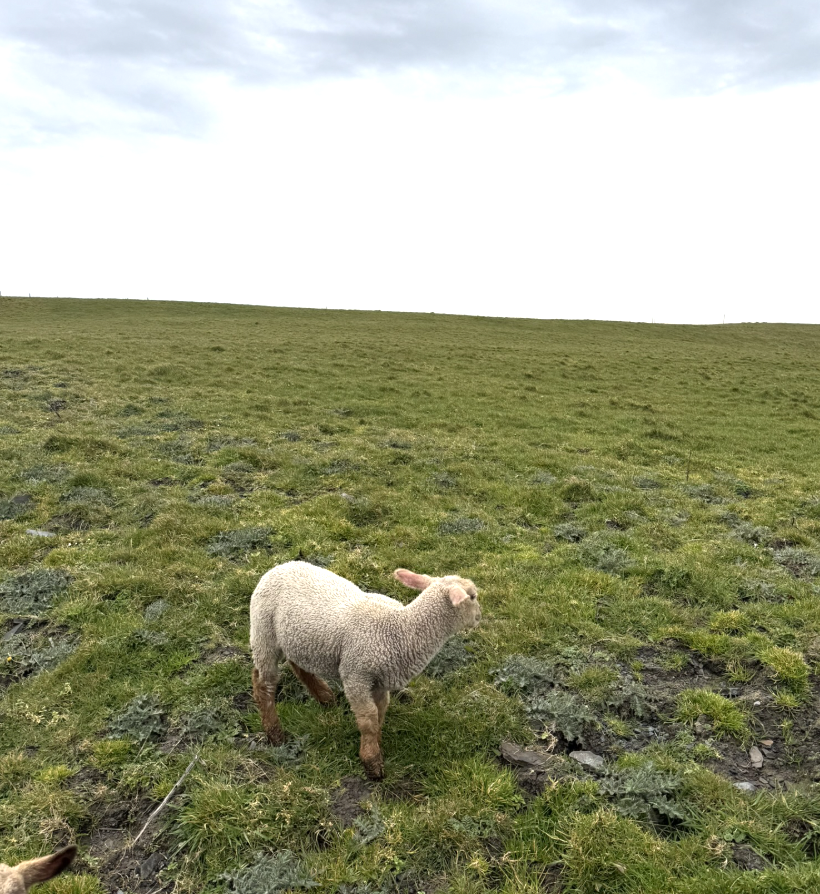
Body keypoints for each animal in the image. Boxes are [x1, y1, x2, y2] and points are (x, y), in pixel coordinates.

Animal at [249, 561, 481, 779]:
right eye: (472, 596)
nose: (479, 616)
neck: (399, 630)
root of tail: (279, 567)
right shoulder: (356, 675)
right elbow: (368, 718)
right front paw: (372, 763)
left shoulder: (379, 680)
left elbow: (380, 712)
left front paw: (376, 744)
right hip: (263, 632)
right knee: (263, 683)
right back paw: (275, 733)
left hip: (298, 639)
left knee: (298, 665)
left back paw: (325, 697)